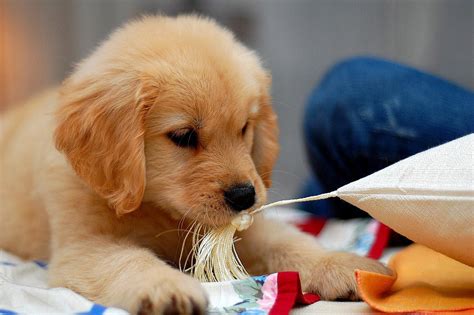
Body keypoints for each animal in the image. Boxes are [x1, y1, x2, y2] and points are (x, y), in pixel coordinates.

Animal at [0, 14, 388, 315]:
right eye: (184, 135)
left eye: (244, 128)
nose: (245, 196)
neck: (161, 211)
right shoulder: (83, 247)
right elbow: (128, 260)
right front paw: (164, 287)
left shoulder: (242, 231)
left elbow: (286, 242)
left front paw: (340, 264)